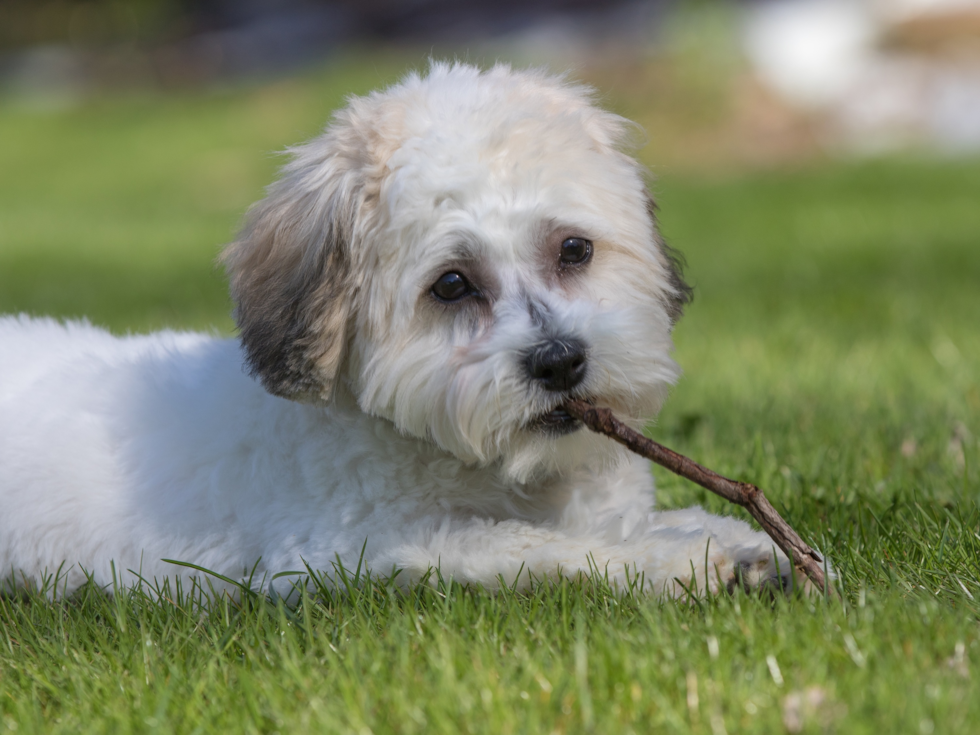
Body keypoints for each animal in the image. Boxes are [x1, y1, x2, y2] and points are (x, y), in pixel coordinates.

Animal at [1, 59, 812, 600]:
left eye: (574, 249)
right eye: (451, 284)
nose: (559, 362)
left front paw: (735, 536)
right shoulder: (355, 548)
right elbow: (546, 547)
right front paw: (675, 559)